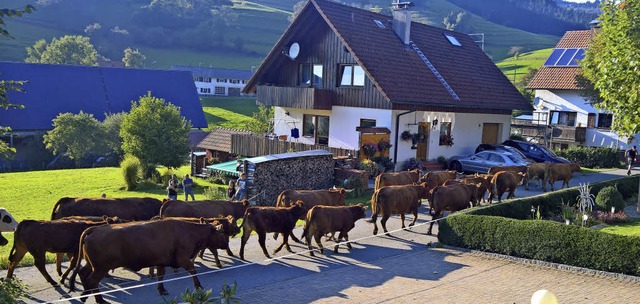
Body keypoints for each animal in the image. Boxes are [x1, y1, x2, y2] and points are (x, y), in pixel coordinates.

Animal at [74, 218, 229, 302]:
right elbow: (193, 270)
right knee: (92, 281)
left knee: (83, 274)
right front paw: (198, 286)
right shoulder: (183, 258)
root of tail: (95, 229)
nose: (226, 244)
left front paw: (161, 290)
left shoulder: (162, 261)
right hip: (100, 268)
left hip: (91, 265)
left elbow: (160, 275)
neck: (189, 231)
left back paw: (84, 295)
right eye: (221, 232)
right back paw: (100, 300)